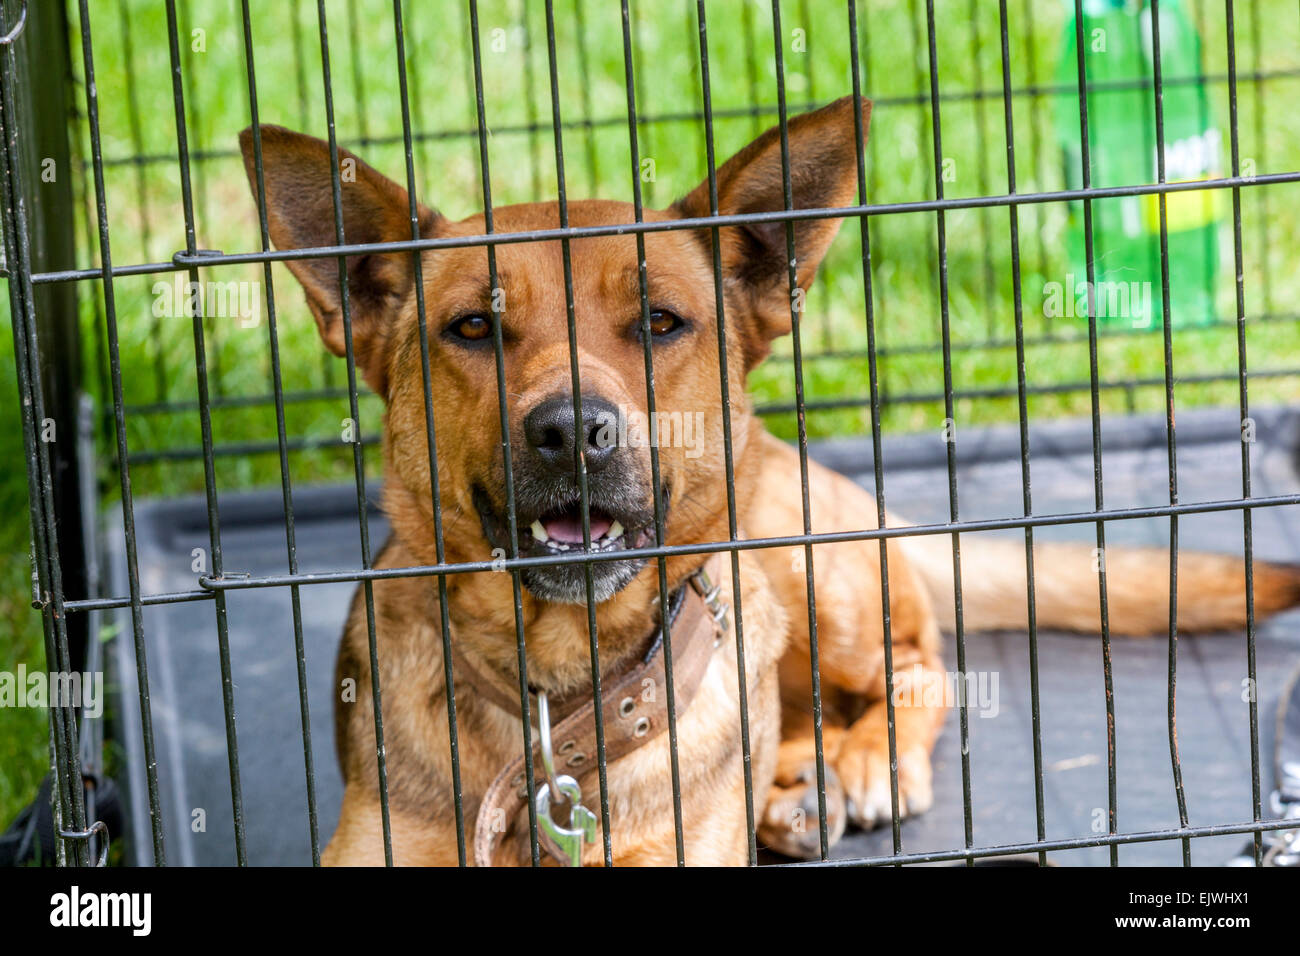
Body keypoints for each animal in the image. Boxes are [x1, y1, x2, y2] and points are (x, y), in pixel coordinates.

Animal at [239, 97, 1300, 868]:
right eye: (472, 328)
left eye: (659, 322)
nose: (572, 433)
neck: (562, 699)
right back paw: (799, 785)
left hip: (810, 565)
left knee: (920, 664)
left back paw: (860, 766)